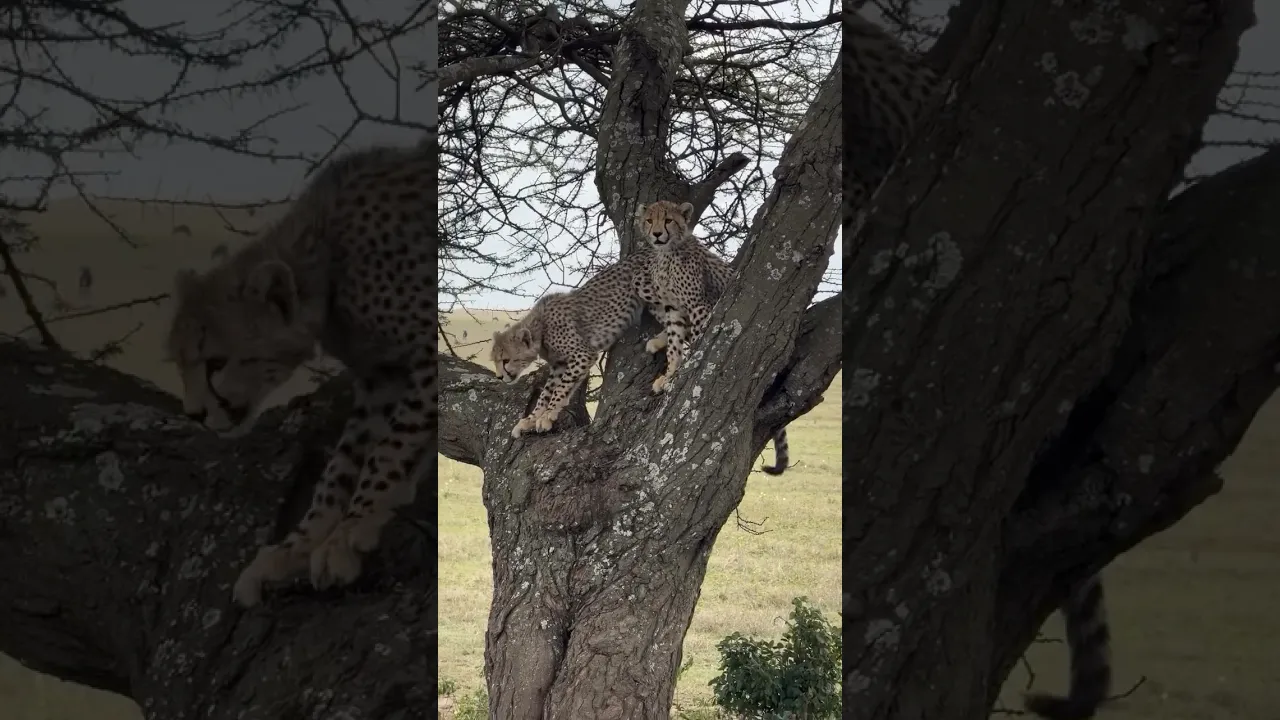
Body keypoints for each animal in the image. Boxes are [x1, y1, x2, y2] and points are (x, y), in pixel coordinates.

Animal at [164, 141, 436, 609]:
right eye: (180, 365)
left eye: (216, 363)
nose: (195, 415)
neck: (327, 258)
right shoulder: (381, 375)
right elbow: (344, 462)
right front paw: (298, 548)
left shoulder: (425, 353)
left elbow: (391, 445)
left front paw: (349, 532)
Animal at [490, 253, 666, 438]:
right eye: (494, 360)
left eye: (506, 360)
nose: (499, 377)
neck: (540, 327)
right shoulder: (559, 364)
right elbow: (547, 392)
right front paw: (531, 419)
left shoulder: (583, 354)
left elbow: (561, 387)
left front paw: (547, 415)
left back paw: (664, 378)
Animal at [634, 199, 789, 476]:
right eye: (650, 220)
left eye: (669, 220)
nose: (657, 234)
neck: (668, 253)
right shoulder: (673, 307)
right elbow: (674, 343)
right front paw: (670, 373)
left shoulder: (698, 305)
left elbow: (696, 338)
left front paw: (687, 367)